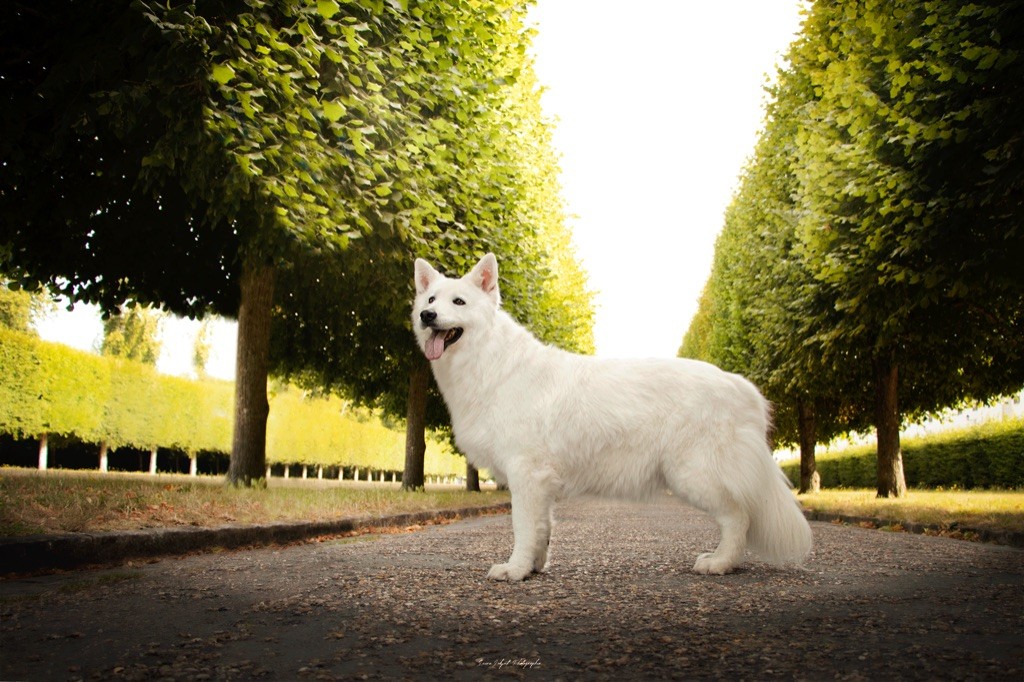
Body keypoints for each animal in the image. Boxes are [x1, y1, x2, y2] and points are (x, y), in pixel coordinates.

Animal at [411, 251, 811, 577]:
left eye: (458, 301)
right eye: (430, 299)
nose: (427, 315)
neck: (490, 361)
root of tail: (743, 387)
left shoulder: (527, 473)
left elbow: (522, 529)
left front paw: (515, 570)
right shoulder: (540, 484)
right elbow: (542, 530)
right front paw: (534, 568)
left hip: (694, 475)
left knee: (738, 518)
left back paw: (720, 563)